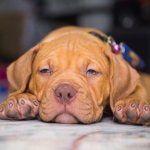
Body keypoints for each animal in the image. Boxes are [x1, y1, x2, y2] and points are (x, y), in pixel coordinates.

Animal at [0, 26, 150, 125]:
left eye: (91, 71)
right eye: (45, 70)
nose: (64, 92)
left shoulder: (138, 82)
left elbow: (139, 89)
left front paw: (134, 103)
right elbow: (16, 90)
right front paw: (18, 100)